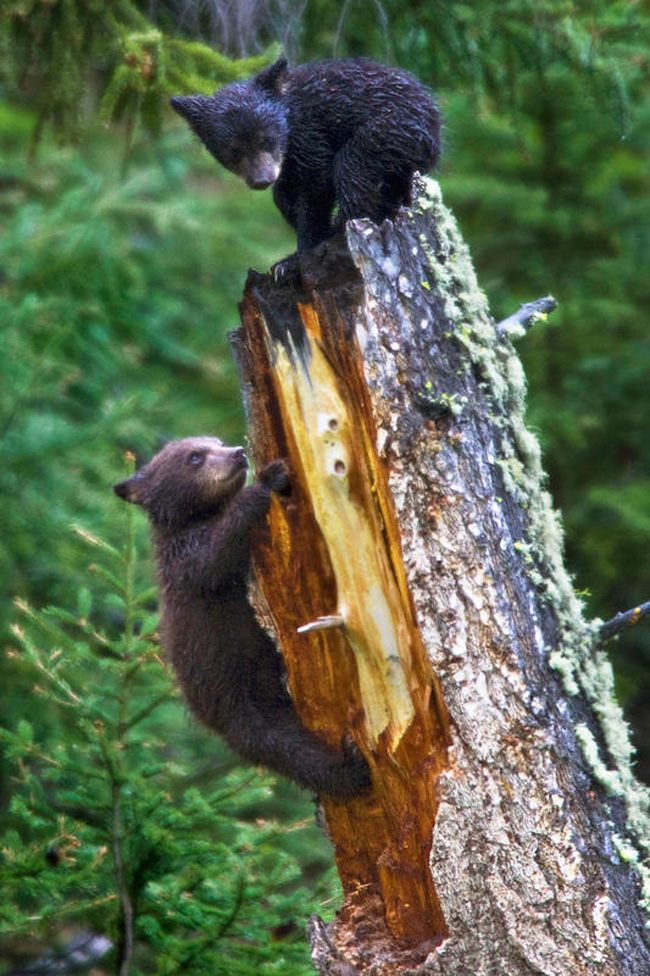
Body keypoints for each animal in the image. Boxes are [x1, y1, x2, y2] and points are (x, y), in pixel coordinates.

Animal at [114, 437, 371, 798]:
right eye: (195, 456)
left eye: (216, 442)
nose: (237, 453)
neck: (197, 517)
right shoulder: (185, 563)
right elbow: (212, 558)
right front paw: (267, 480)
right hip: (240, 708)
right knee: (286, 750)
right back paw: (351, 768)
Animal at [170, 57, 440, 255]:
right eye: (234, 150)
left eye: (266, 139)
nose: (261, 180)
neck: (290, 115)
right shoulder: (288, 164)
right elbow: (284, 194)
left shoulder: (310, 134)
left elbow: (316, 183)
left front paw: (303, 249)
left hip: (389, 130)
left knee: (353, 169)